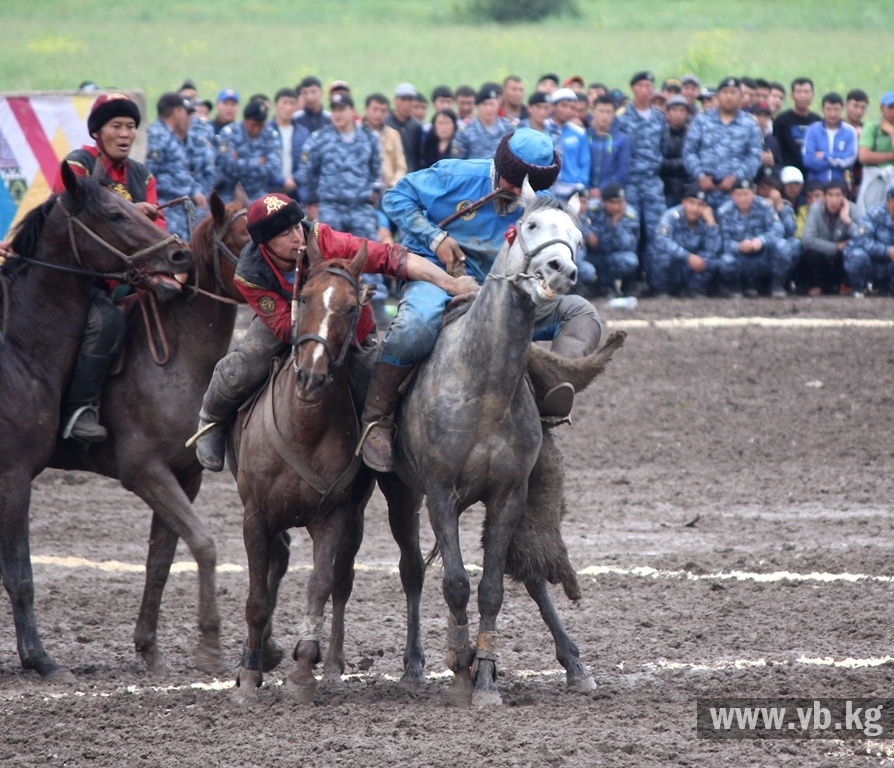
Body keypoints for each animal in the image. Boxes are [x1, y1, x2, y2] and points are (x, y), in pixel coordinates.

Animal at [231, 244, 428, 704]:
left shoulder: (332, 515)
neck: (302, 428)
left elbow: (320, 584)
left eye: (353, 307)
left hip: (391, 501)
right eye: (303, 299)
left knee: (384, 572)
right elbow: (257, 597)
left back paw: (358, 664)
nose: (310, 376)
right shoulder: (255, 515)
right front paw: (249, 673)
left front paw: (304, 669)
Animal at [396, 182, 628, 708]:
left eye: (578, 239)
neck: (483, 384)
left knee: (533, 573)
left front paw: (483, 676)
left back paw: (574, 664)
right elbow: (455, 583)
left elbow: (491, 589)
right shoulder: (439, 491)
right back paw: (414, 664)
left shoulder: (509, 494)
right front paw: (461, 671)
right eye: (531, 225)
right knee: (412, 572)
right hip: (398, 492)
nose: (561, 270)